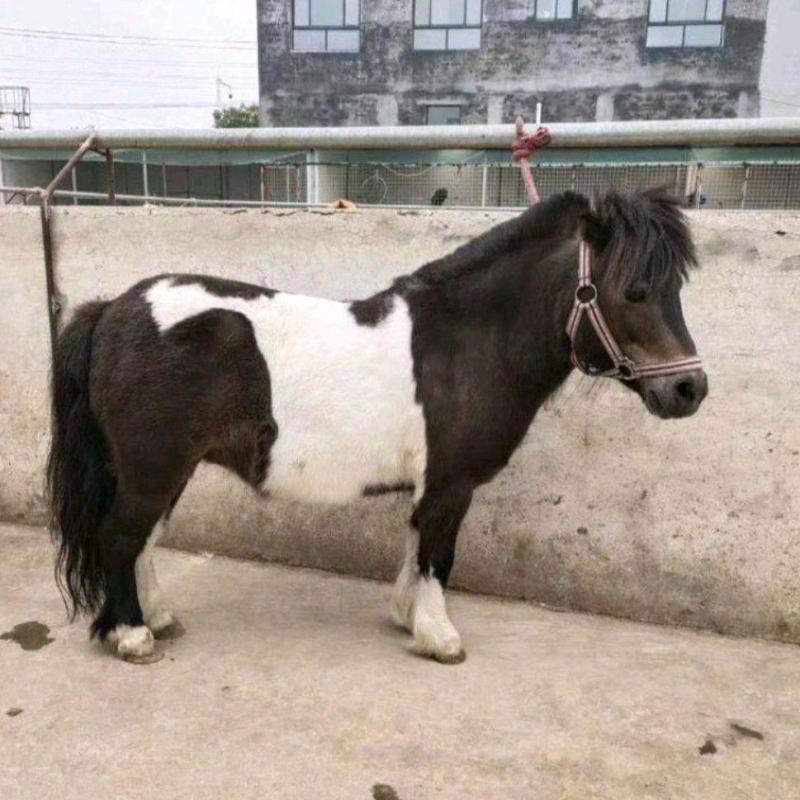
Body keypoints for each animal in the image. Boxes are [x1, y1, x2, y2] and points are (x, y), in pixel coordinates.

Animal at [47, 188, 707, 665]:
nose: (689, 390)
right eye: (635, 290)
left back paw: (156, 617)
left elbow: (417, 548)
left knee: (142, 540)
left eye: (676, 286)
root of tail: (114, 310)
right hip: (152, 468)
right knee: (120, 537)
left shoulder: (432, 485)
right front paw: (439, 636)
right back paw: (133, 636)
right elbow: (439, 555)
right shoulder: (451, 484)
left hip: (165, 471)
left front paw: (406, 615)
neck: (467, 340)